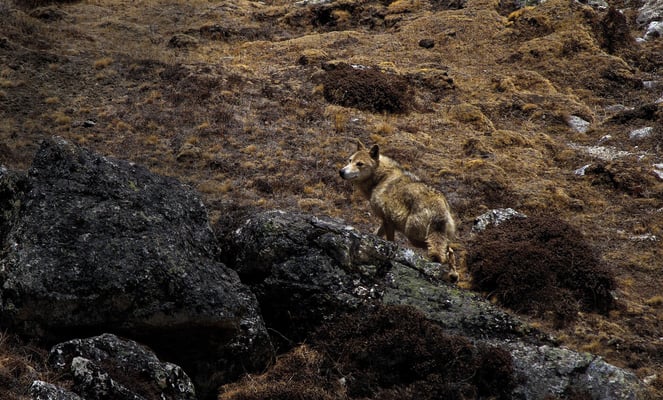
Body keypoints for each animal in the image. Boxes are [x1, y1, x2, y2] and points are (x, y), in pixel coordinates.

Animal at [339, 142, 459, 281]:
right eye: (350, 160)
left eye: (359, 164)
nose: (341, 171)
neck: (381, 178)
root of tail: (438, 207)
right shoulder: (385, 221)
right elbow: (376, 235)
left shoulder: (388, 222)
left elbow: (390, 242)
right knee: (450, 251)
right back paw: (454, 275)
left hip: (414, 238)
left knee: (442, 255)